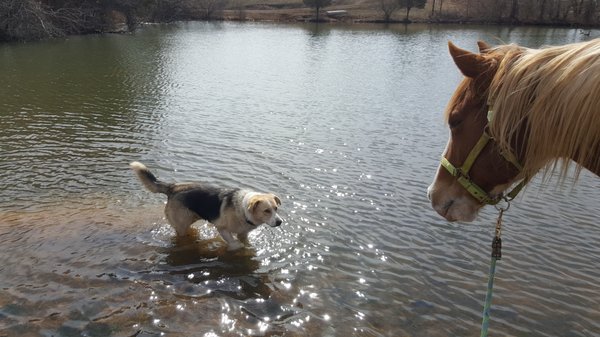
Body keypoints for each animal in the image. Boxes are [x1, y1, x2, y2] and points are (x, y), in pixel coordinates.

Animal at [129, 160, 284, 249]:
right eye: (266, 211)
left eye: (276, 209)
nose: (280, 222)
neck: (243, 210)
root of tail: (173, 187)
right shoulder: (222, 229)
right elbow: (235, 244)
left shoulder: (243, 234)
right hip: (182, 226)